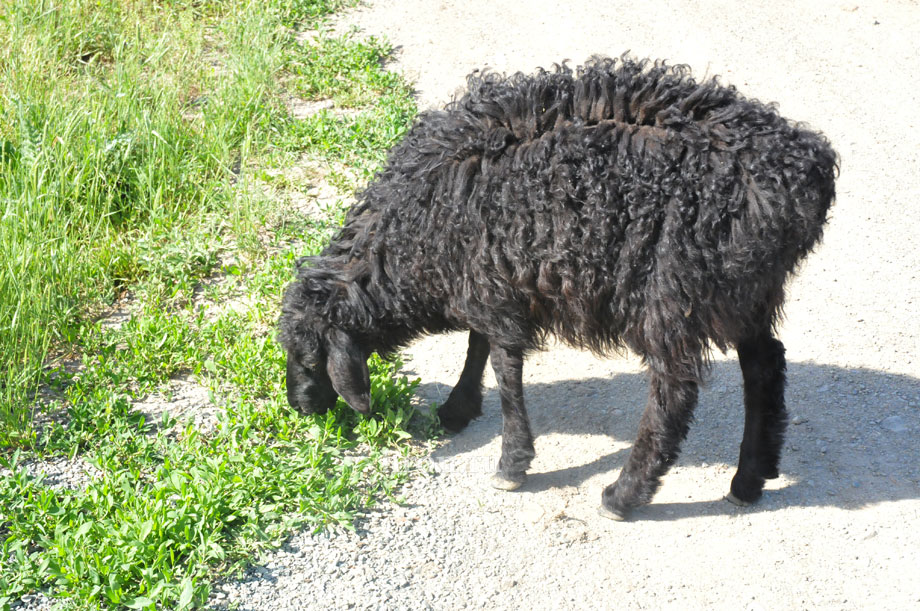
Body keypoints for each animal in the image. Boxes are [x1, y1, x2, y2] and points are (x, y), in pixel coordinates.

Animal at [276, 55, 836, 520]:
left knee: (675, 390)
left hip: (675, 290)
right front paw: (457, 410)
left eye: (307, 355)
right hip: (745, 290)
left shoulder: (492, 287)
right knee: (765, 365)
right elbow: (479, 348)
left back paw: (624, 495)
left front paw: (510, 465)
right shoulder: (491, 278)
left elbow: (505, 370)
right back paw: (748, 480)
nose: (300, 409)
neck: (411, 230)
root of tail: (803, 177)